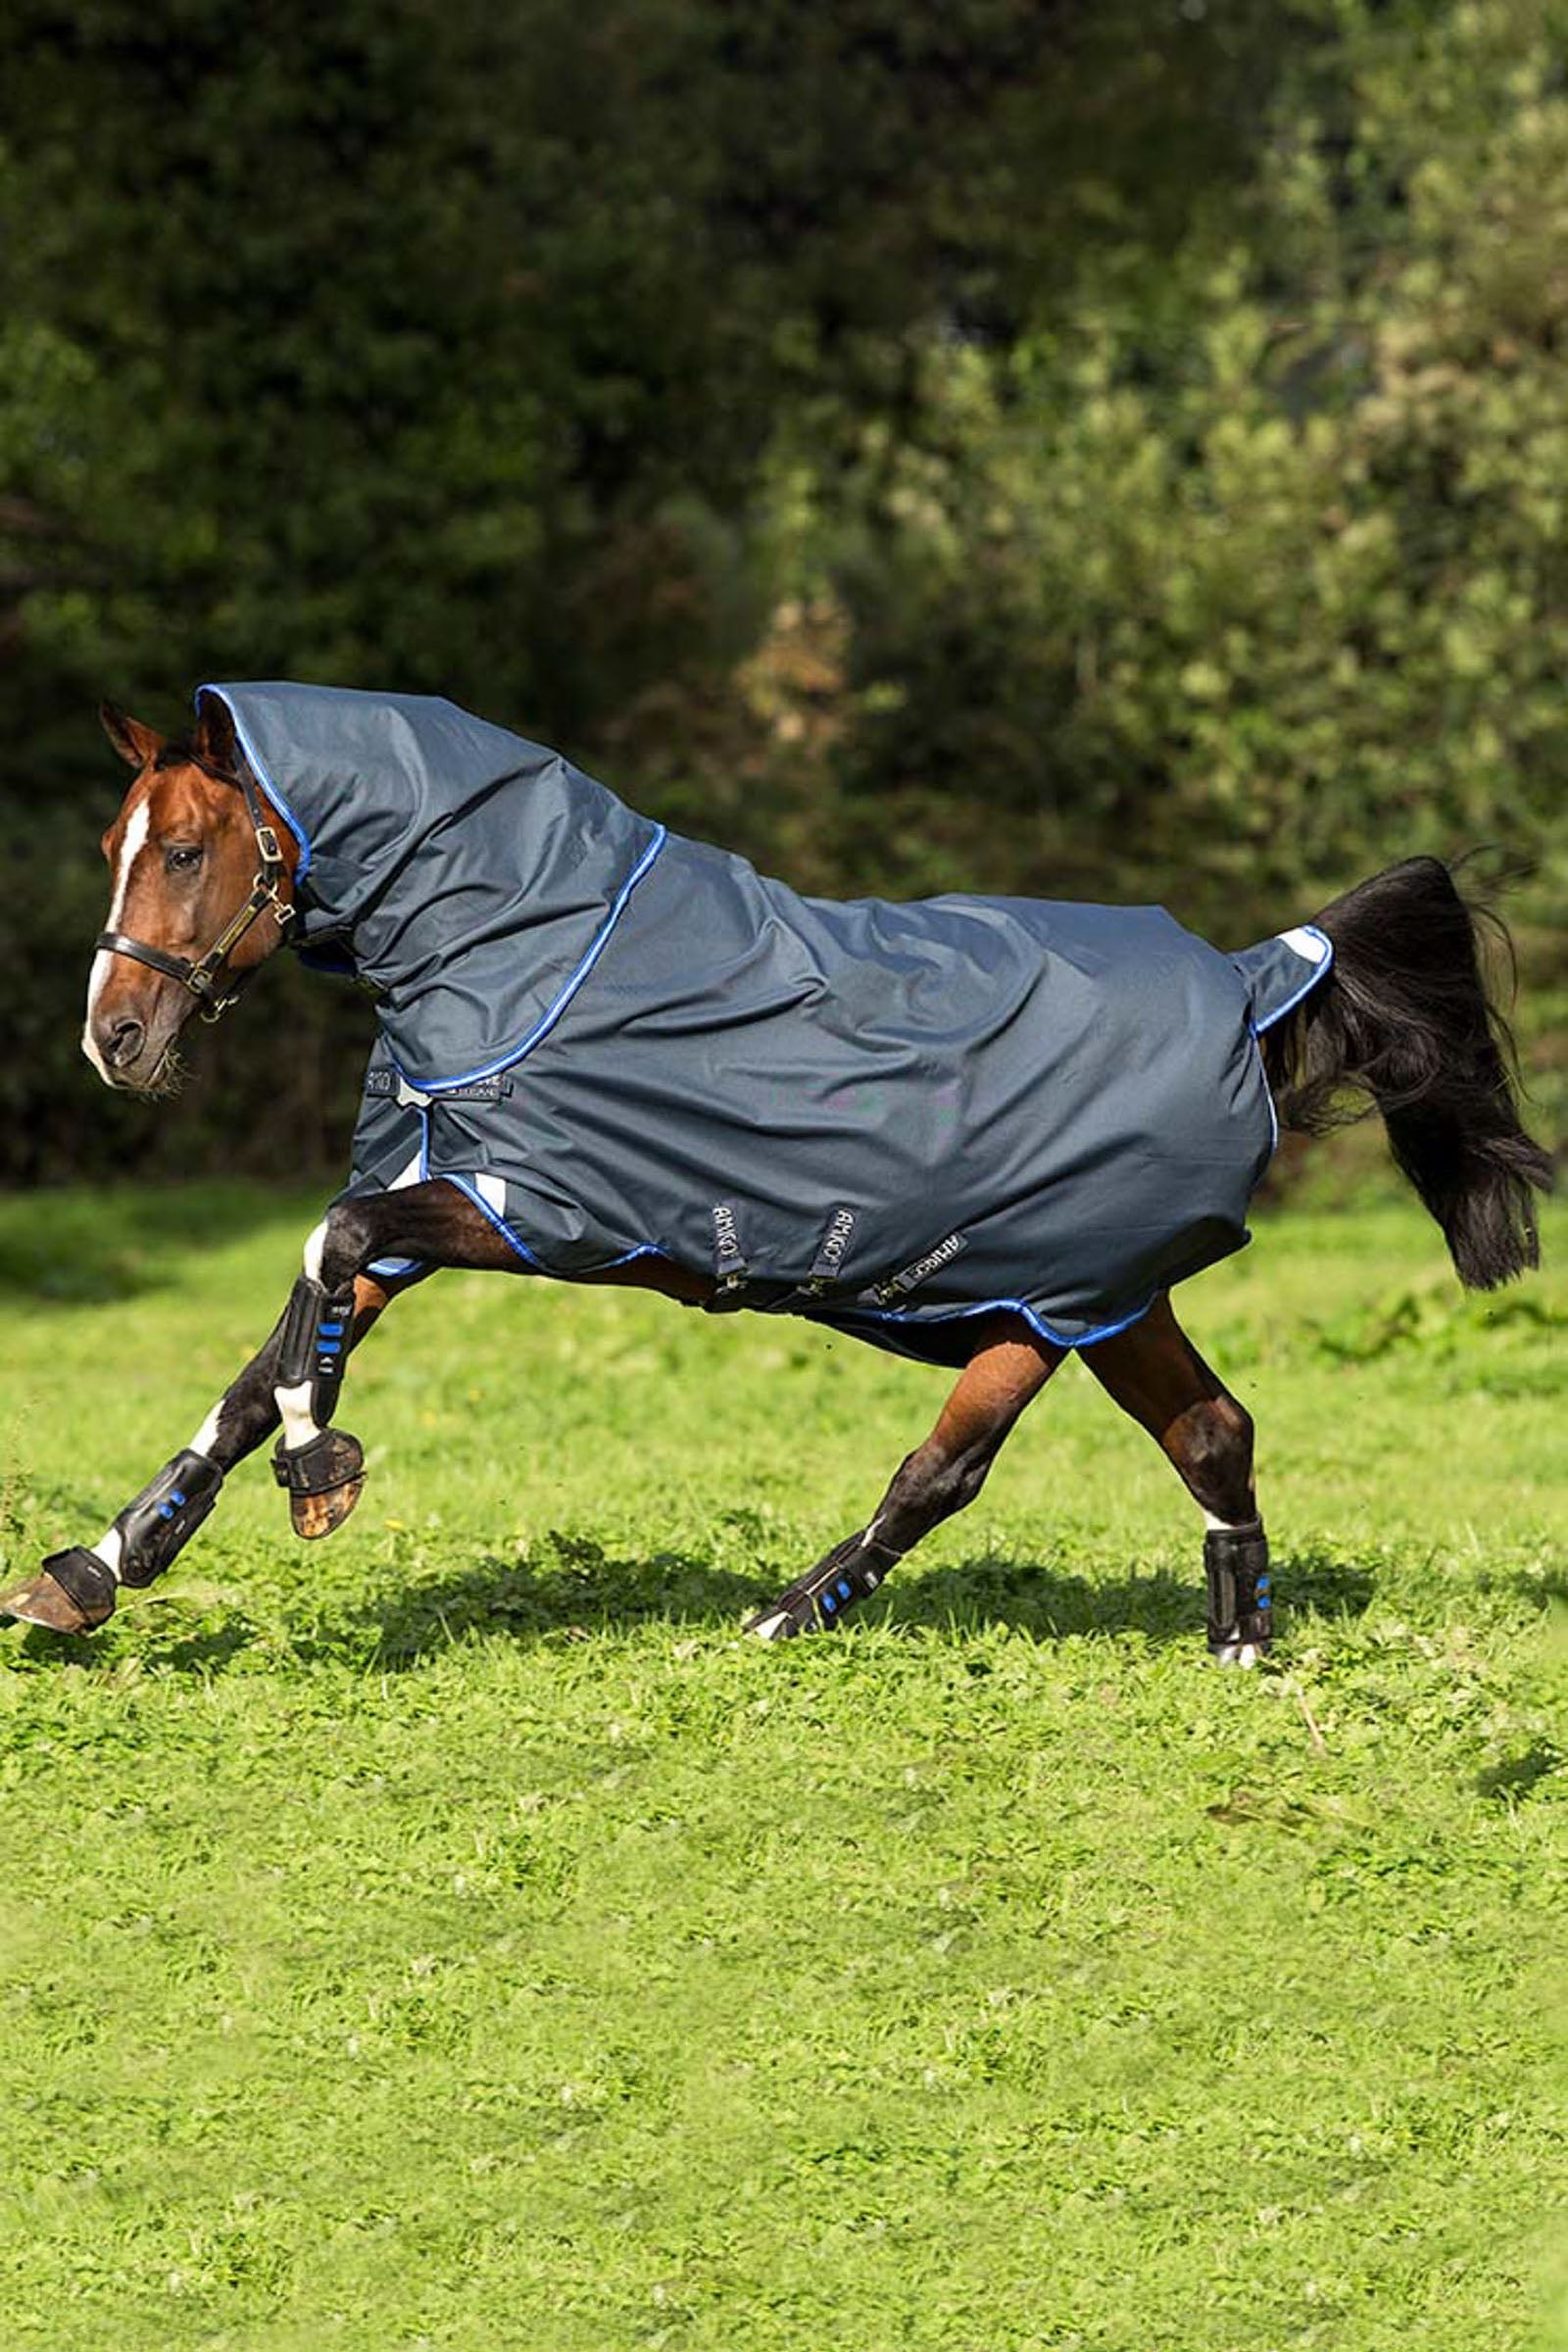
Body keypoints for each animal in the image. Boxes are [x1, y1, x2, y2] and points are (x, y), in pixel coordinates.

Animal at [1, 686, 1551, 1659]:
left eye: (184, 850)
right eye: (115, 845)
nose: (111, 1040)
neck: (530, 944)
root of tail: (1246, 983)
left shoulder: (530, 1210)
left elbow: (317, 1260)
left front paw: (321, 1477)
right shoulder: (438, 1203)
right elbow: (266, 1356)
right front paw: (91, 1572)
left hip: (1064, 1300)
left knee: (951, 1468)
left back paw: (783, 1620)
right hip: (1088, 1301)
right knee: (1209, 1434)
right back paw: (1236, 1646)